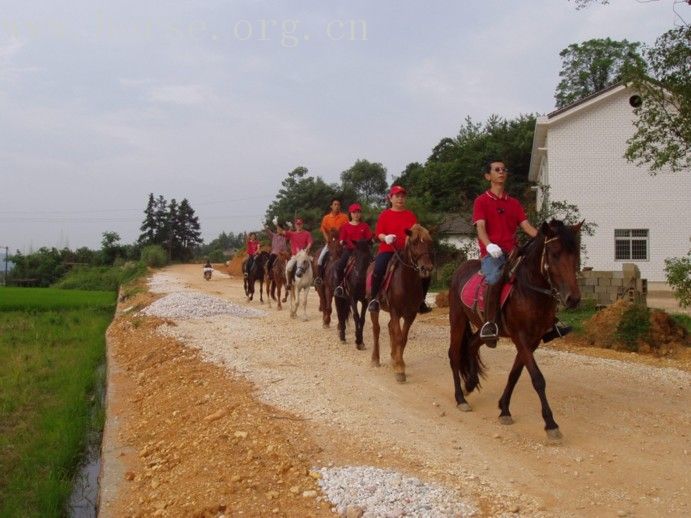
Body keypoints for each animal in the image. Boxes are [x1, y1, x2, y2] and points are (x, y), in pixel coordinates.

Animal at [368, 222, 432, 382]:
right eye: (414, 243)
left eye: (429, 243)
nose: (426, 268)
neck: (406, 281)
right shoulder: (395, 311)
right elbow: (397, 336)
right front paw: (399, 369)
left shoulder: (411, 314)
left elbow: (403, 338)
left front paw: (399, 362)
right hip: (375, 308)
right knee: (376, 329)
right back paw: (375, 359)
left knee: (390, 327)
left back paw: (392, 357)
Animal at [448, 219, 584, 442]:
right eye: (554, 254)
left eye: (576, 254)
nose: (573, 299)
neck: (530, 290)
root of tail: (461, 268)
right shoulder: (520, 337)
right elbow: (537, 379)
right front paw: (550, 423)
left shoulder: (533, 340)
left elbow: (515, 374)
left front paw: (504, 409)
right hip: (457, 319)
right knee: (454, 355)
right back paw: (460, 398)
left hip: (485, 330)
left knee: (472, 345)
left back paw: (470, 383)